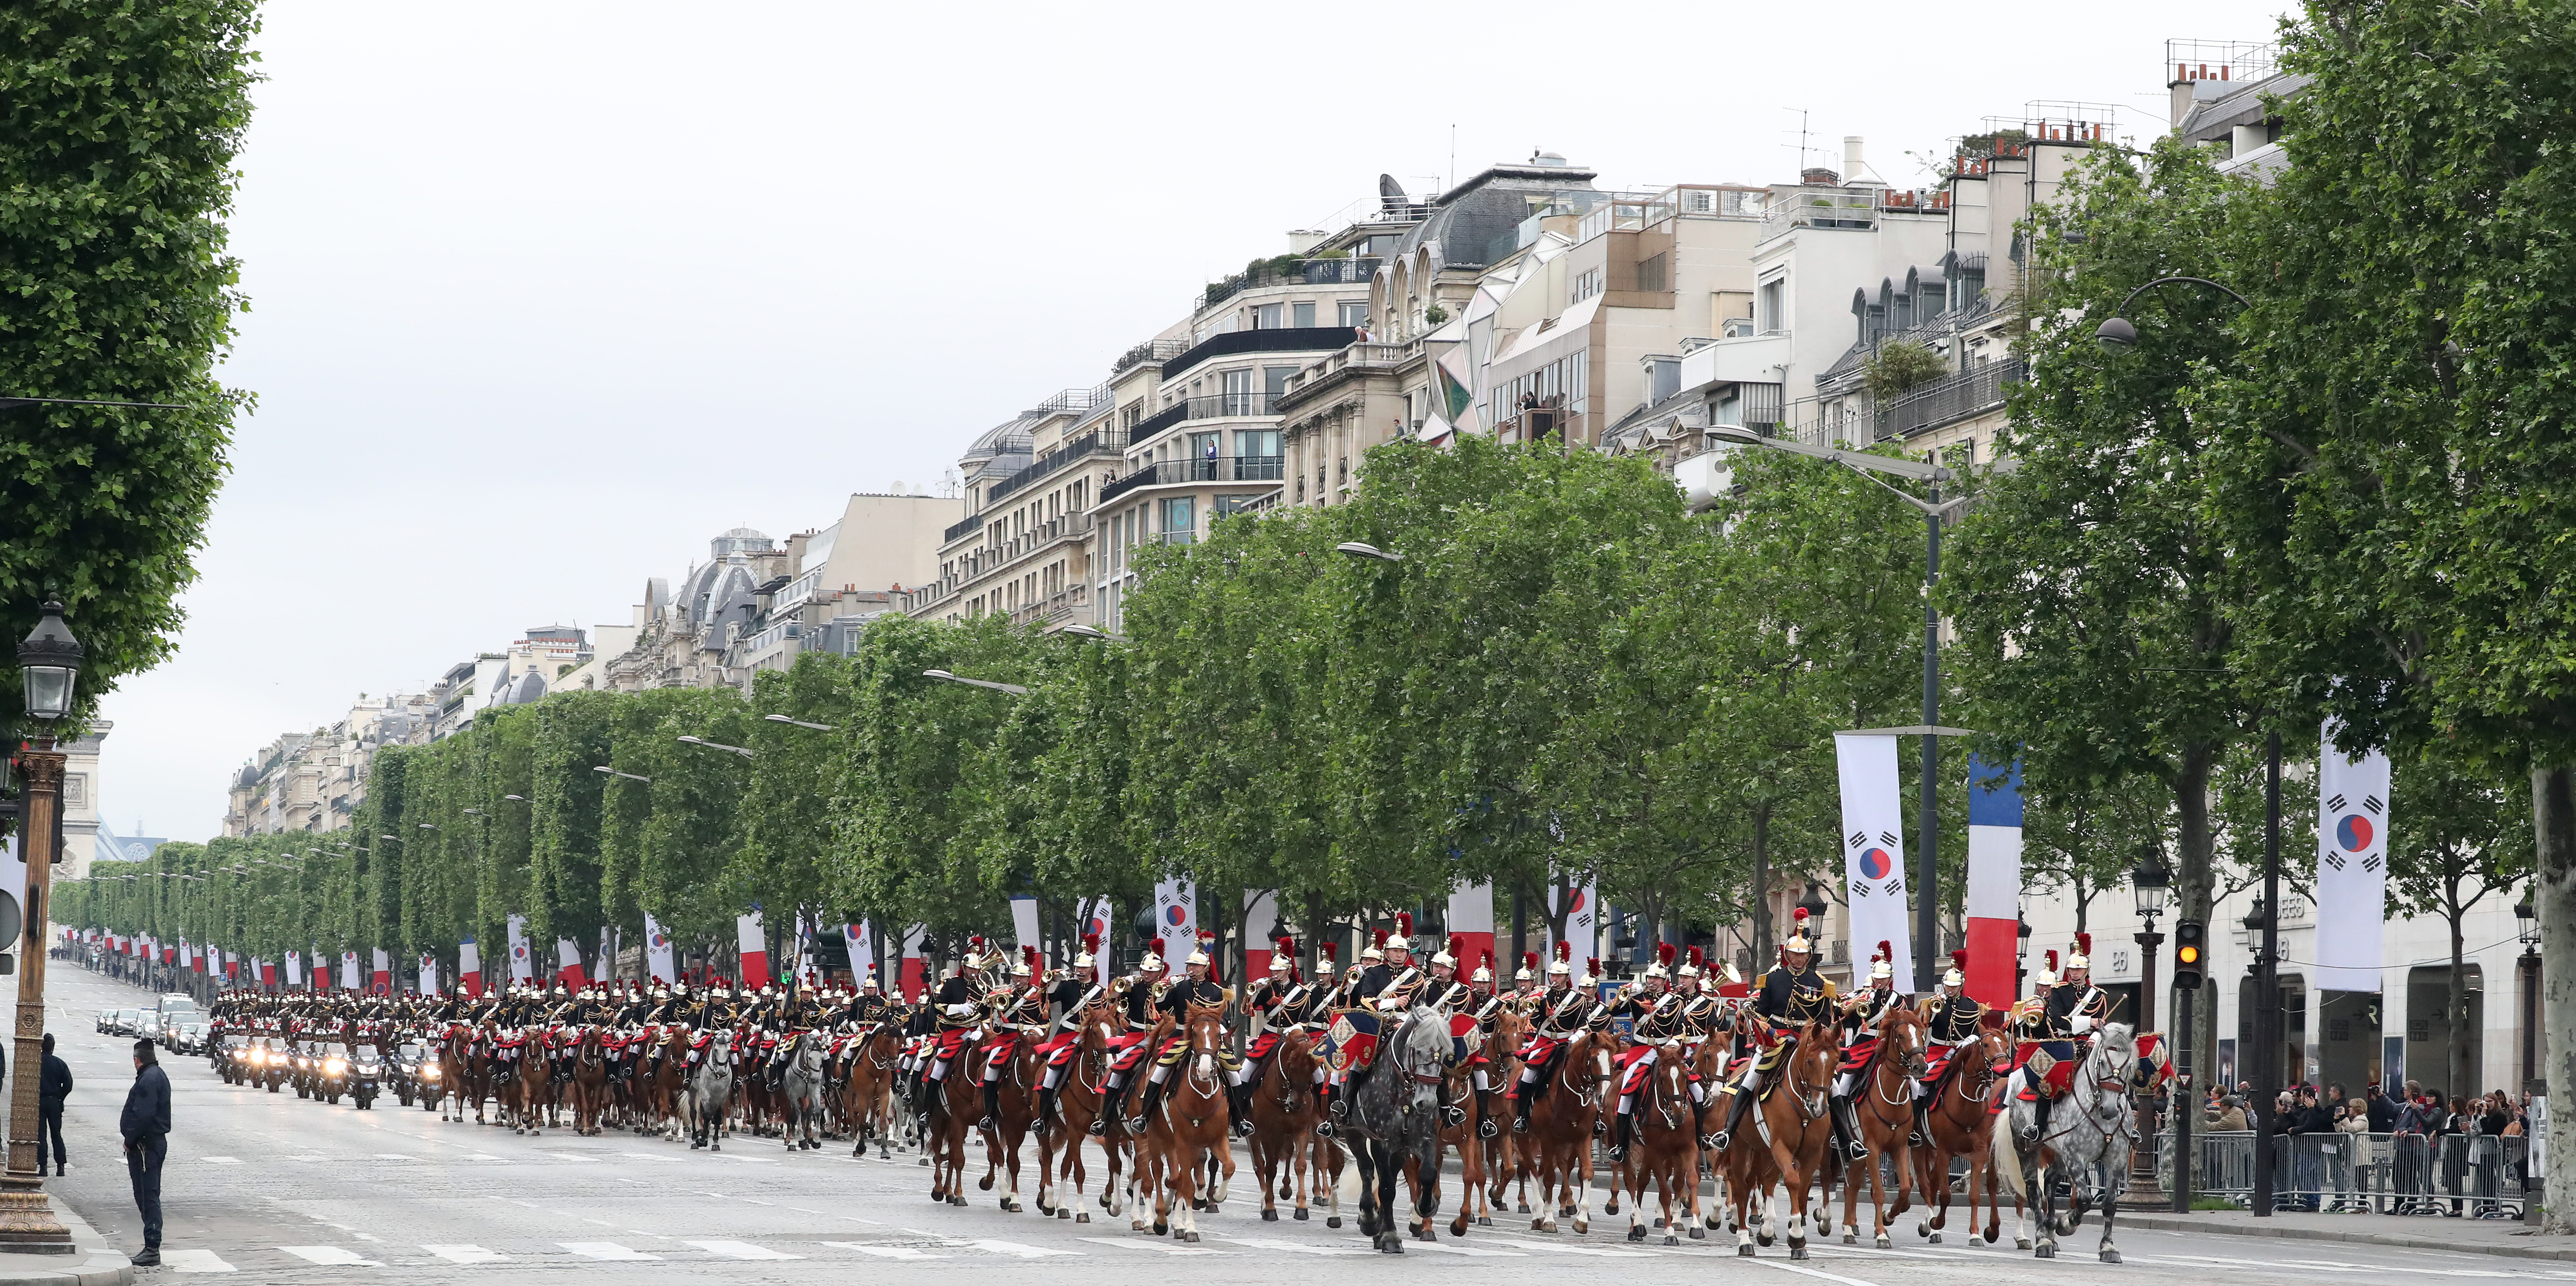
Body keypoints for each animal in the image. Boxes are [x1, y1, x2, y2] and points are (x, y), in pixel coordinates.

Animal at [1138, 1000, 1236, 1242]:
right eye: (1194, 1033)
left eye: (1219, 1036)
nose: (1204, 1070)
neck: (1201, 1099)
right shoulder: (1183, 1142)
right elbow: (1187, 1185)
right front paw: (1191, 1228)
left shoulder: (1218, 1139)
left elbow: (1228, 1167)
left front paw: (1217, 1196)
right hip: (1155, 1137)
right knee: (1157, 1171)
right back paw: (1160, 1219)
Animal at [1720, 1026, 1844, 1257]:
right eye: (1810, 1061)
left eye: (1836, 1061)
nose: (1819, 1108)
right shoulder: (1781, 1146)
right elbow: (1793, 1181)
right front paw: (1796, 1235)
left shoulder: (1812, 1153)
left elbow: (1803, 1186)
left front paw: (1796, 1238)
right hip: (1742, 1145)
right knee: (1741, 1184)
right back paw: (1745, 1239)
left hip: (1763, 1150)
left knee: (1762, 1180)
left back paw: (1766, 1230)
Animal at [1916, 1020, 2009, 1242]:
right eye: (1985, 1045)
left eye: (2006, 1044)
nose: (2003, 1071)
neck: (1965, 1107)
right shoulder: (1944, 1152)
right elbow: (1946, 1195)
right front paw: (1937, 1223)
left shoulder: (1979, 1154)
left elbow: (1975, 1196)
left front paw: (1976, 1233)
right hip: (1920, 1147)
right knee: (1926, 1184)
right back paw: (1929, 1225)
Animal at [1988, 1026, 2133, 1268]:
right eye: (2103, 1062)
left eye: (2128, 1064)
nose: (2111, 1109)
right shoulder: (2075, 1157)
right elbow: (2084, 1201)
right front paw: (2066, 1224)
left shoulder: (2117, 1159)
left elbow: (2110, 1204)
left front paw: (2108, 1248)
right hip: (2027, 1148)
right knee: (2034, 1192)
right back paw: (2043, 1240)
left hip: (2058, 1154)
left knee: (2050, 1180)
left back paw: (2049, 1230)